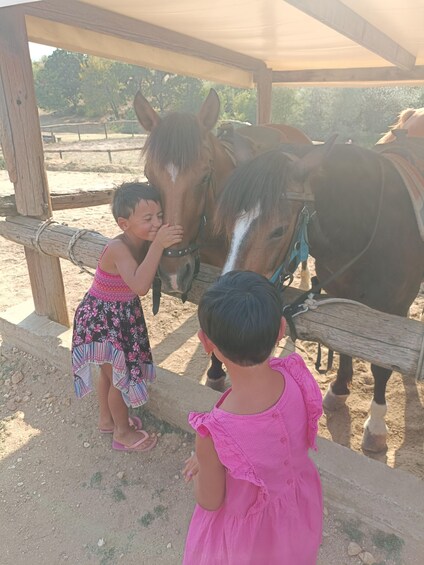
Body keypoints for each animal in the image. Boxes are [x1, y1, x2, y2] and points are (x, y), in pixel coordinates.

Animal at [215, 139, 424, 452]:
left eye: (278, 230)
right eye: (230, 223)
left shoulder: (392, 310)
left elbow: (381, 366)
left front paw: (375, 425)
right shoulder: (342, 296)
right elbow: (345, 345)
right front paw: (338, 390)